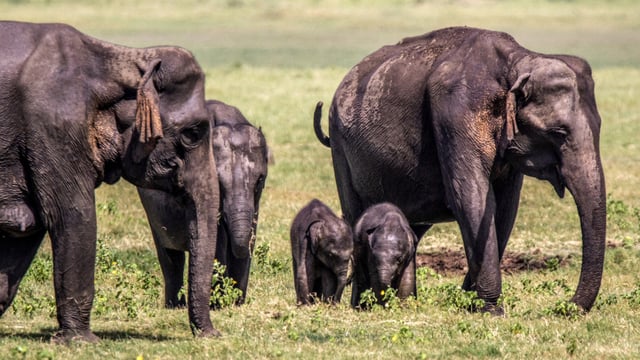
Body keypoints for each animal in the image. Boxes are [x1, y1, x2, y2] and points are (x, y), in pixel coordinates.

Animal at [0, 21, 219, 342]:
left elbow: (25, 227)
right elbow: (73, 215)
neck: (120, 58)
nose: (212, 335)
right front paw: (80, 342)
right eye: (193, 133)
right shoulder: (55, 128)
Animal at [139, 100, 268, 308]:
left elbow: (249, 236)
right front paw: (218, 305)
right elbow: (215, 243)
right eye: (218, 183)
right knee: (170, 256)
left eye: (260, 180)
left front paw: (236, 303)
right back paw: (175, 306)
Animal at [318, 26, 608, 312]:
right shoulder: (455, 114)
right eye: (558, 133)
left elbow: (505, 207)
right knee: (356, 214)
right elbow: (471, 198)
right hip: (341, 148)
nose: (566, 305)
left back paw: (404, 302)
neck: (518, 61)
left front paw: (472, 301)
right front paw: (490, 309)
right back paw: (363, 305)